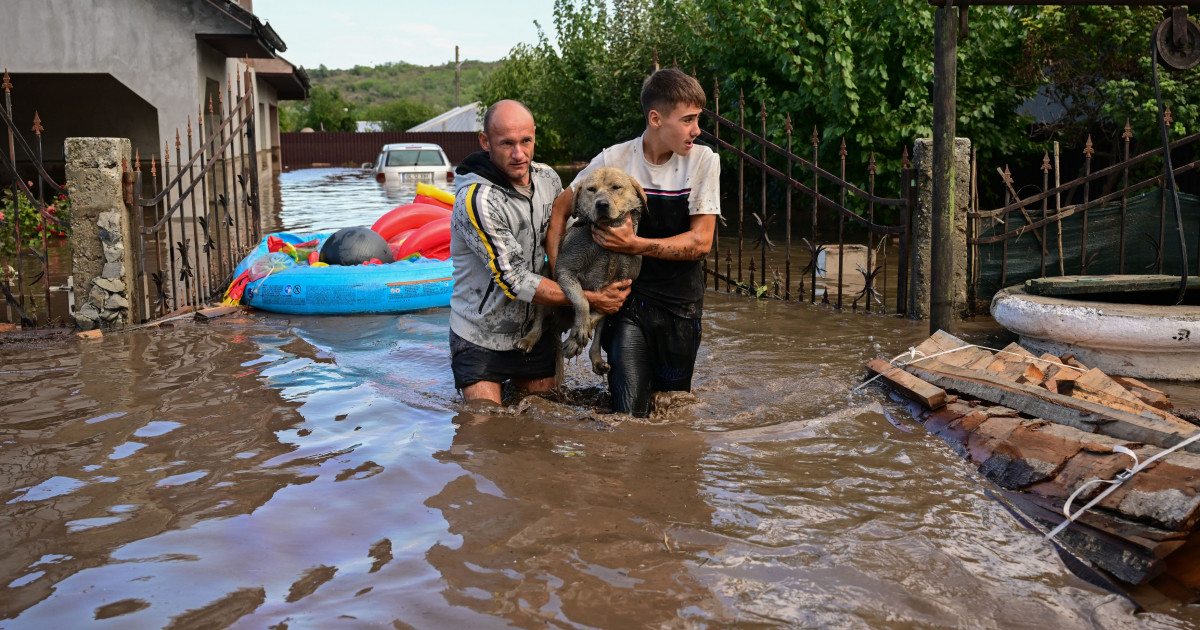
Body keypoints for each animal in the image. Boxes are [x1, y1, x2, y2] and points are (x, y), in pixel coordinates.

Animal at [516, 166, 648, 374]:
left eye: (616, 187)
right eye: (591, 189)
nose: (602, 204)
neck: (606, 245)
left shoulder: (621, 290)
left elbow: (596, 315)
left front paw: (575, 340)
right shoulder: (565, 271)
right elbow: (582, 300)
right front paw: (578, 332)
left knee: (597, 337)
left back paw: (597, 359)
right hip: (544, 281)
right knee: (538, 321)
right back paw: (529, 340)